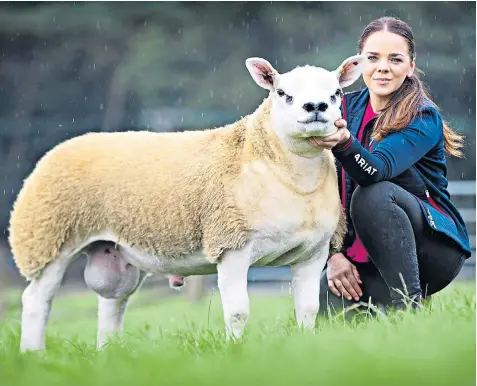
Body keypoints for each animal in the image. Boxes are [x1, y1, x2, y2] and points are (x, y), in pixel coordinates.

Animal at [8, 55, 364, 352]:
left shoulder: (312, 253)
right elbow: (238, 312)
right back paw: (33, 354)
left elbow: (308, 310)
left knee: (112, 305)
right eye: (282, 93)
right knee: (37, 300)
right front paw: (235, 352)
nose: (315, 106)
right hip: (49, 239)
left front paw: (307, 346)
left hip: (115, 250)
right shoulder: (231, 245)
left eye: (336, 93)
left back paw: (108, 353)